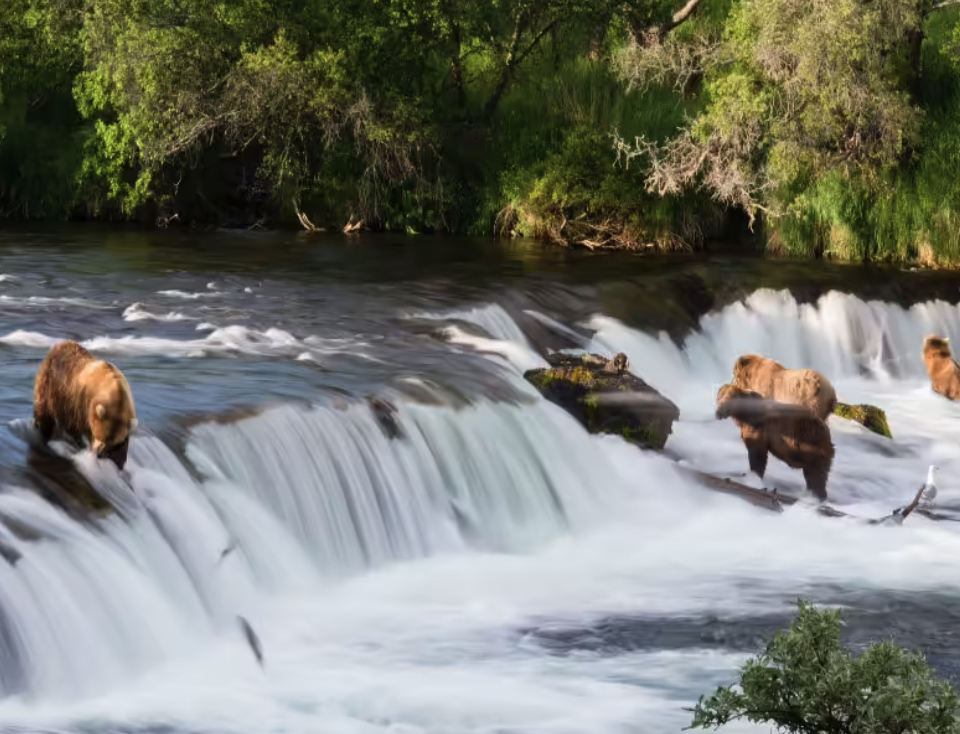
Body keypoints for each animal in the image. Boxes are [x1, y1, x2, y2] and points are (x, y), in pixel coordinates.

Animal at [33, 340, 138, 470]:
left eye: (113, 441)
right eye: (101, 435)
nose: (99, 454)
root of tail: (60, 344)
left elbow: (122, 446)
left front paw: (118, 461)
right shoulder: (81, 403)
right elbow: (76, 425)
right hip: (51, 384)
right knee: (45, 412)